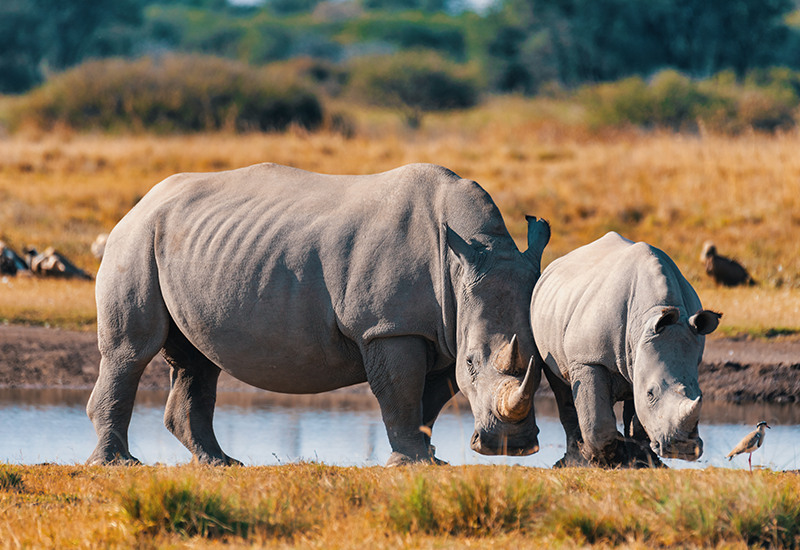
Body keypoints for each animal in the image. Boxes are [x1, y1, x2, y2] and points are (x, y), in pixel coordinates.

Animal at [87, 162, 551, 466]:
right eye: (472, 363)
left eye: (542, 365)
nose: (510, 447)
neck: (470, 255)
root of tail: (144, 200)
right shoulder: (388, 327)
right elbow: (402, 394)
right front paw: (413, 463)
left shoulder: (439, 331)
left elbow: (429, 400)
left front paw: (429, 460)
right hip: (135, 238)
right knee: (132, 352)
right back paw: (118, 464)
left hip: (184, 243)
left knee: (197, 361)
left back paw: (219, 463)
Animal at [530, 232, 720, 468]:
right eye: (651, 393)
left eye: (700, 394)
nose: (683, 449)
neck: (651, 313)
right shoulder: (588, 359)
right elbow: (596, 420)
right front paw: (603, 459)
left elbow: (639, 415)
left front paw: (641, 461)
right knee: (560, 384)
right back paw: (573, 460)